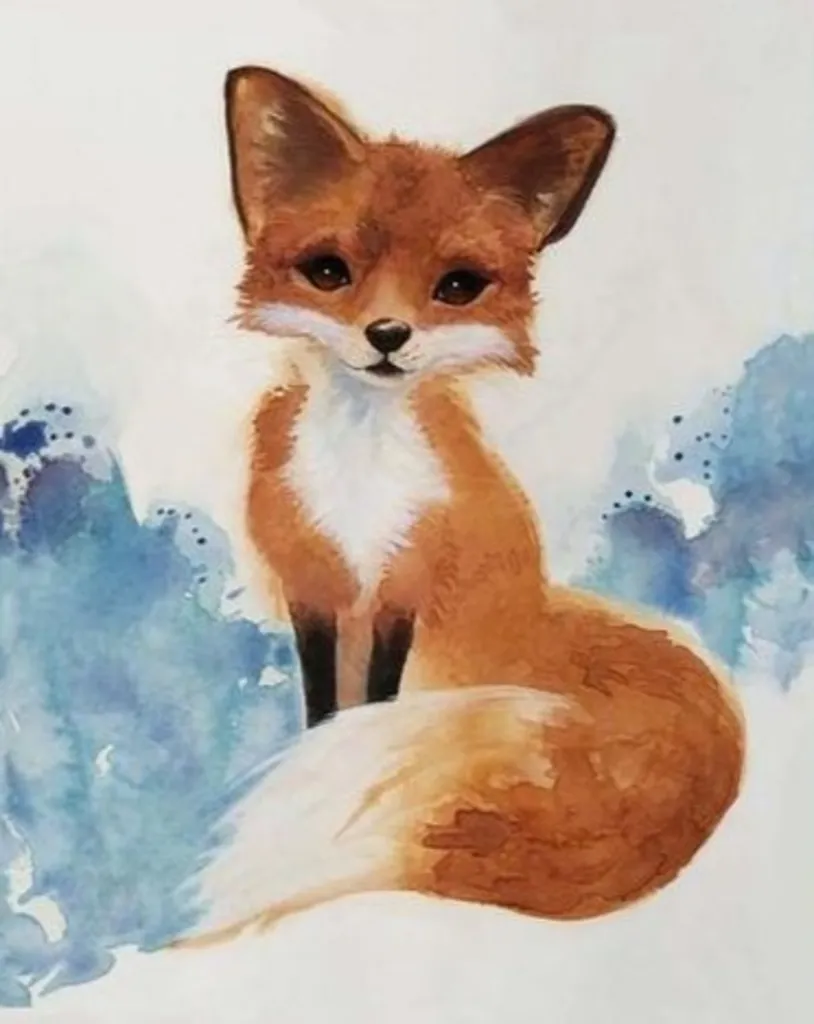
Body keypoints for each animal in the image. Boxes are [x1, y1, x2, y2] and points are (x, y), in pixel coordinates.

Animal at [184, 66, 745, 944]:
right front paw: (317, 749)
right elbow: (325, 702)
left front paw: (328, 762)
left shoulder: (405, 582)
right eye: (328, 271)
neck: (360, 476)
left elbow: (370, 700)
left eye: (458, 286)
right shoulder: (313, 583)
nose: (387, 335)